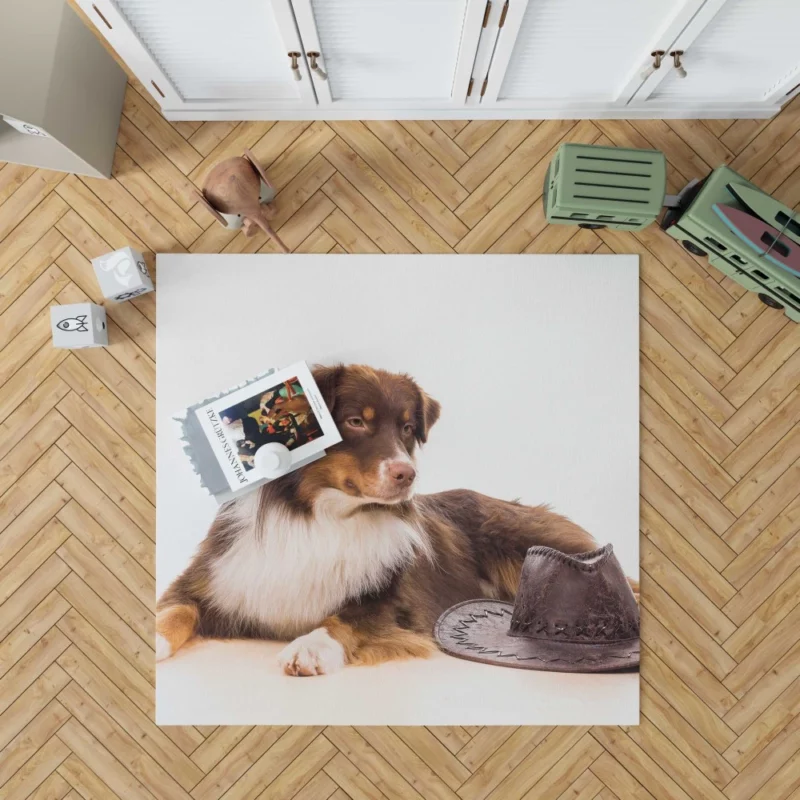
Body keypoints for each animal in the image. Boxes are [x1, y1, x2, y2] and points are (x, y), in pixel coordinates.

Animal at [156, 364, 636, 676]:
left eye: (407, 428)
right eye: (354, 421)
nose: (407, 475)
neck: (323, 516)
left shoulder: (394, 605)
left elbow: (345, 618)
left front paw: (310, 645)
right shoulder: (214, 577)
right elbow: (176, 609)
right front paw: (155, 638)